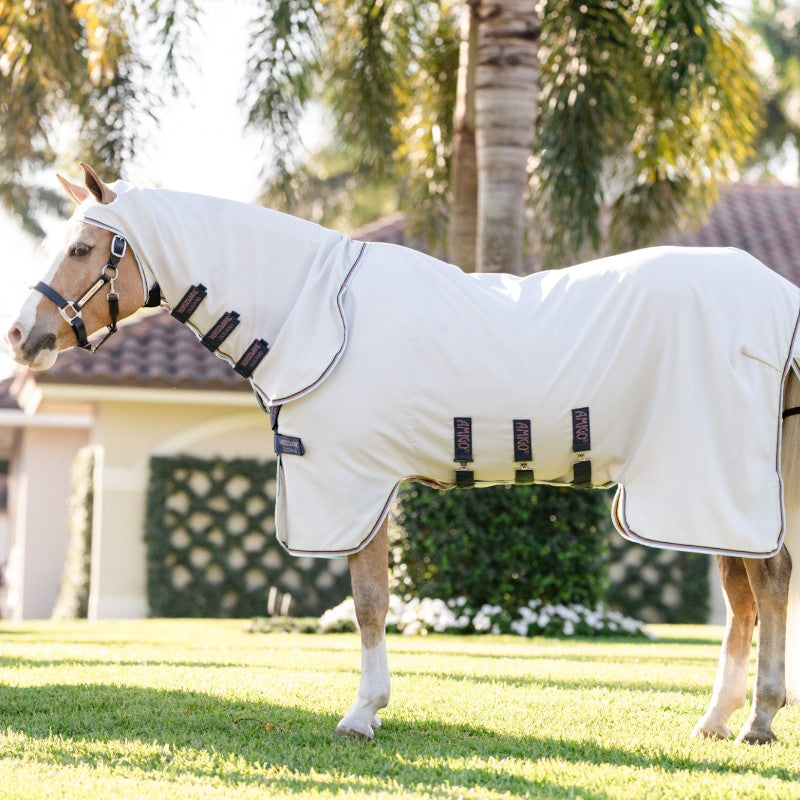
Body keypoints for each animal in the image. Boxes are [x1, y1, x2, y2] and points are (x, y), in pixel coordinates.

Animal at [6, 163, 800, 744]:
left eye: (81, 249)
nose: (21, 336)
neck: (315, 310)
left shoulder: (355, 485)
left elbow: (368, 602)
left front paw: (362, 713)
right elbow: (372, 601)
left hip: (708, 475)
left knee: (769, 579)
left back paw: (759, 720)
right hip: (707, 485)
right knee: (742, 594)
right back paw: (716, 720)